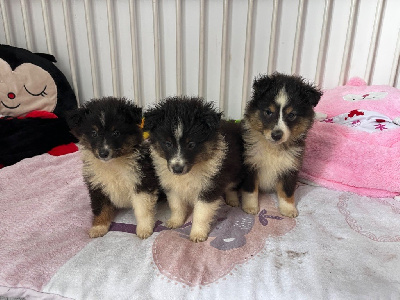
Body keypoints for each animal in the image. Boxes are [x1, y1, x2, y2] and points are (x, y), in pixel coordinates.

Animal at [66, 98, 159, 239]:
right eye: (94, 133)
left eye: (116, 133)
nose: (103, 153)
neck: (112, 164)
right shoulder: (97, 187)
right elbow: (100, 209)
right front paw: (98, 227)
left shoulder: (141, 181)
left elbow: (142, 208)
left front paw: (144, 229)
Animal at [145, 97, 244, 243]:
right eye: (168, 143)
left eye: (191, 144)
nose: (177, 169)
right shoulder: (172, 187)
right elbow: (176, 205)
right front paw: (175, 222)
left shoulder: (209, 187)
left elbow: (201, 213)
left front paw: (197, 234)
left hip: (235, 169)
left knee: (232, 186)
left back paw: (233, 200)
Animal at [241, 72, 322, 218]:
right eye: (268, 112)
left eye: (292, 115)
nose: (276, 135)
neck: (273, 147)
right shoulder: (250, 164)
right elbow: (251, 190)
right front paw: (250, 207)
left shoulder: (290, 168)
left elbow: (287, 191)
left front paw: (288, 209)